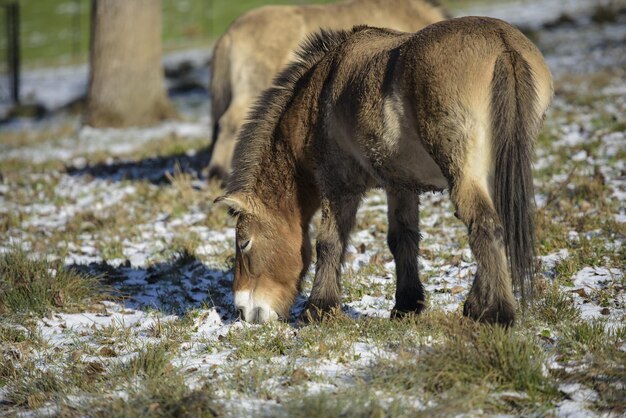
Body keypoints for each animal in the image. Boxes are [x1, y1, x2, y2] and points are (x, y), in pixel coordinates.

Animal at [214, 17, 552, 326]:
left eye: (244, 243)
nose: (243, 311)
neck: (320, 93)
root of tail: (502, 46)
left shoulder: (338, 185)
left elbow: (329, 242)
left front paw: (318, 309)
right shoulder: (400, 185)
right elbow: (402, 238)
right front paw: (406, 306)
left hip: (465, 174)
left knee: (484, 225)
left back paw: (495, 313)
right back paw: (478, 305)